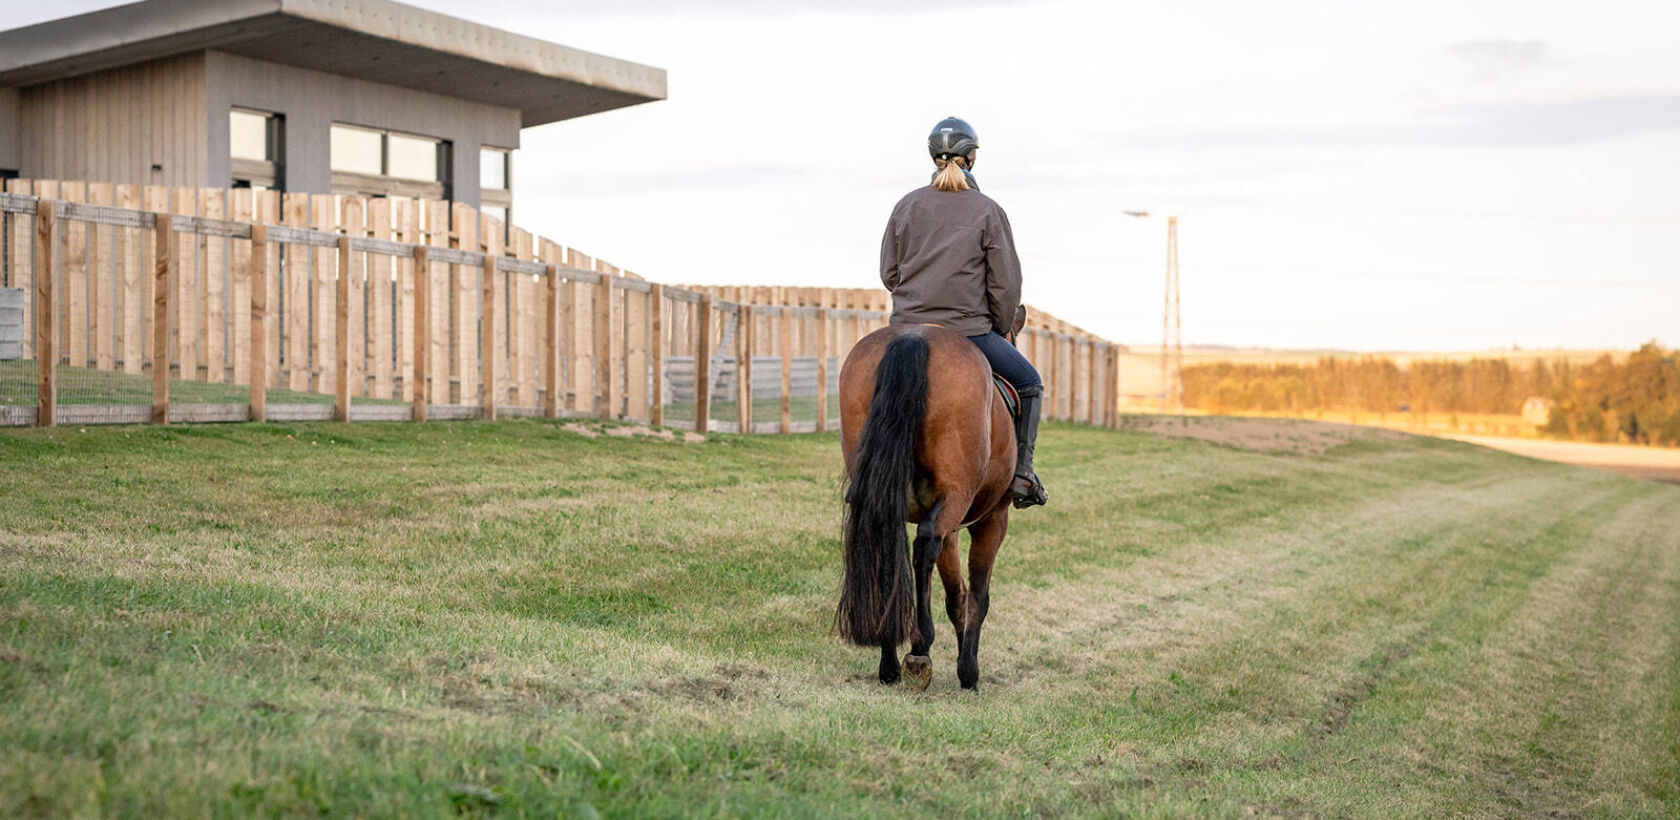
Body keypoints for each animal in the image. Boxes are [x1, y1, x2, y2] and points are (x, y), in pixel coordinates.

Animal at [834, 310, 1025, 692]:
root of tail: (914, 336)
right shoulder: (991, 520)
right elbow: (978, 595)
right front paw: (968, 671)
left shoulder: (951, 529)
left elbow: (956, 596)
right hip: (956, 500)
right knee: (923, 547)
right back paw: (919, 647)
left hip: (884, 496)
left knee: (889, 550)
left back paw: (889, 661)